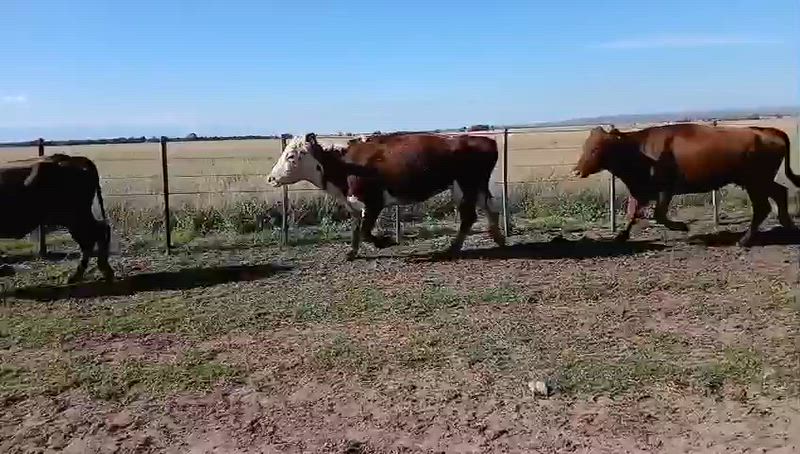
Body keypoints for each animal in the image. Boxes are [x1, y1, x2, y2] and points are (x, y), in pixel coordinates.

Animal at [267, 132, 506, 260]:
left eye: (291, 156)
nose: (271, 178)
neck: (345, 164)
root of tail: (485, 140)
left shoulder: (374, 201)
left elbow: (365, 232)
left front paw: (386, 242)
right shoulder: (354, 204)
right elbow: (356, 230)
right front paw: (352, 253)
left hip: (465, 187)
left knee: (469, 217)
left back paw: (452, 248)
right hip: (475, 187)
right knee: (490, 209)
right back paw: (498, 238)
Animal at [572, 123, 800, 246]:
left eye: (596, 148)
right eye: (585, 146)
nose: (576, 170)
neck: (639, 150)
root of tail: (767, 131)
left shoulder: (665, 189)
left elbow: (659, 215)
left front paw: (683, 227)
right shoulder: (640, 191)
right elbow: (632, 214)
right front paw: (620, 236)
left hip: (755, 183)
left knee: (763, 207)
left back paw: (744, 241)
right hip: (761, 182)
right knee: (780, 193)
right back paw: (788, 225)